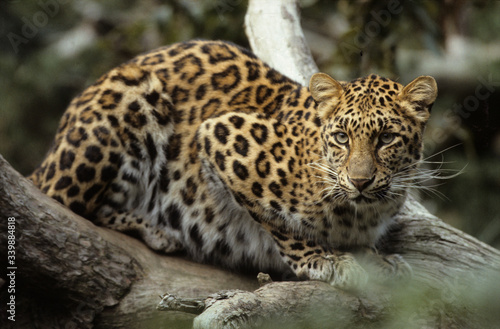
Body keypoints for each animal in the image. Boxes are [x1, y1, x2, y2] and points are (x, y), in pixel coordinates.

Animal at [30, 39, 438, 288]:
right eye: (341, 138)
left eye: (386, 138)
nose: (360, 181)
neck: (363, 210)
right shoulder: (220, 135)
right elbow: (279, 223)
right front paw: (324, 260)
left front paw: (377, 260)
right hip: (131, 99)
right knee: (70, 204)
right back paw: (156, 229)